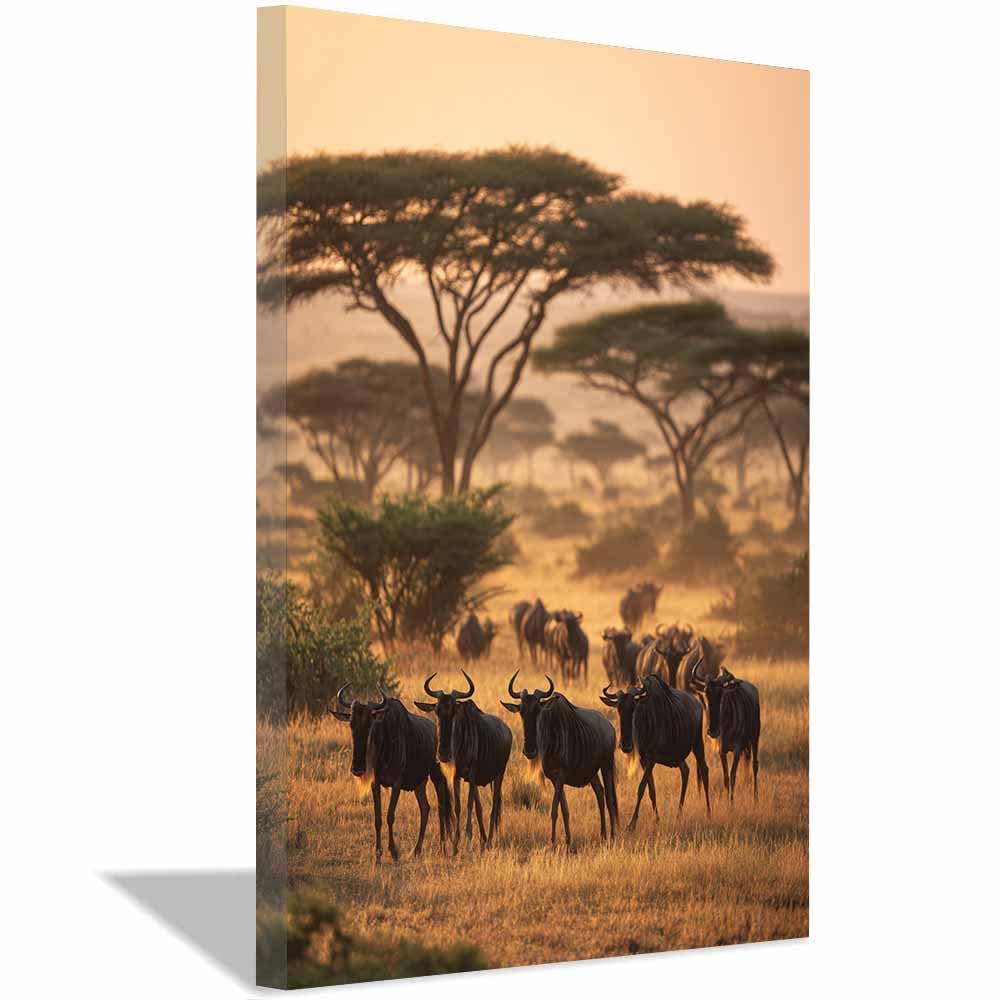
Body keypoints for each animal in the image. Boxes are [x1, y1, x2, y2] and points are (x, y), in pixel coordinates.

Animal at [330, 683, 453, 861]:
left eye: (370, 724)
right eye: (351, 724)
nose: (357, 769)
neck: (383, 746)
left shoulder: (396, 783)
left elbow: (390, 815)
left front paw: (394, 852)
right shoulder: (375, 783)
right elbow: (378, 818)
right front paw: (378, 854)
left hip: (436, 776)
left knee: (441, 808)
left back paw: (442, 849)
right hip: (419, 784)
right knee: (425, 808)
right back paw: (416, 850)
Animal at [415, 670, 513, 851]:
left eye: (454, 712)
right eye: (437, 711)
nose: (444, 754)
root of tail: (507, 731)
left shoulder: (472, 774)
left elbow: (469, 804)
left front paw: (467, 836)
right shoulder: (457, 776)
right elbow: (459, 806)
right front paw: (455, 843)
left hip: (499, 776)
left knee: (494, 807)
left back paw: (489, 841)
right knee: (480, 807)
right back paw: (483, 839)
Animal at [501, 671, 619, 847]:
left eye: (538, 712)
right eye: (521, 712)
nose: (529, 751)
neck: (550, 739)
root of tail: (609, 726)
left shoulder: (561, 776)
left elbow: (554, 809)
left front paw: (552, 842)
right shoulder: (554, 778)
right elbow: (564, 810)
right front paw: (568, 841)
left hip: (606, 766)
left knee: (610, 798)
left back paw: (612, 837)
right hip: (592, 772)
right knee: (600, 793)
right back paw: (603, 835)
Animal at [600, 674, 711, 828]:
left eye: (634, 708)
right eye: (618, 709)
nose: (626, 746)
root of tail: (697, 703)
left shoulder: (652, 758)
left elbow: (641, 787)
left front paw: (632, 823)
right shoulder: (644, 760)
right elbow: (651, 789)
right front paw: (657, 819)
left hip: (698, 744)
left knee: (704, 771)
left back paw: (708, 812)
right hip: (678, 756)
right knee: (685, 771)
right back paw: (678, 814)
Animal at [705, 669, 761, 803]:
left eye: (721, 696)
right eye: (706, 694)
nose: (713, 731)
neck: (726, 727)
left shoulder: (736, 749)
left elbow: (732, 776)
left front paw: (732, 804)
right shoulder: (722, 751)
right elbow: (726, 778)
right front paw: (727, 801)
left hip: (755, 738)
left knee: (755, 765)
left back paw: (755, 798)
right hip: (746, 746)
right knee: (747, 761)